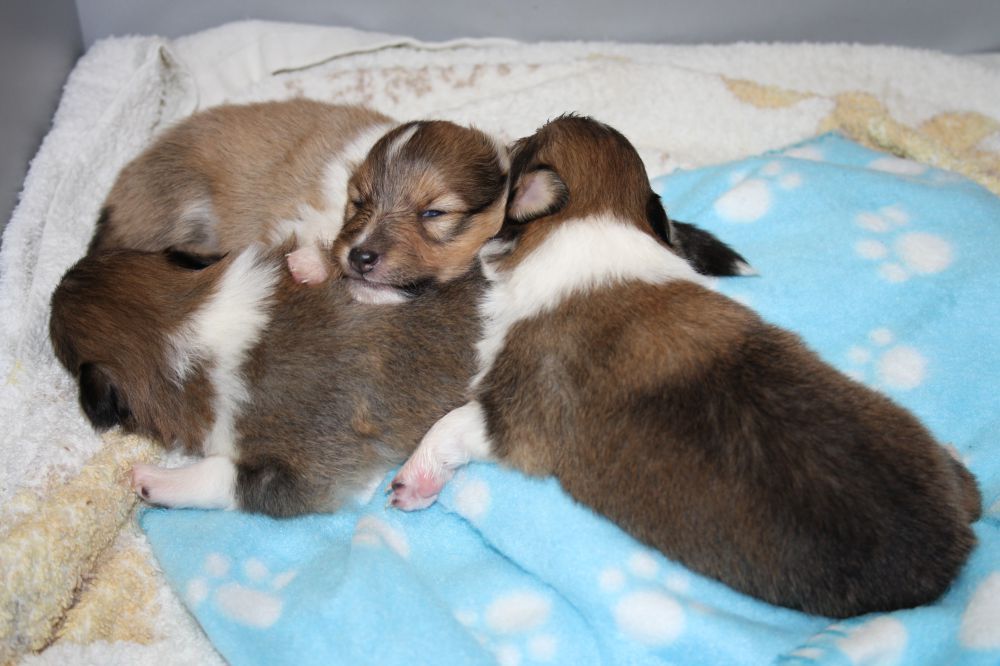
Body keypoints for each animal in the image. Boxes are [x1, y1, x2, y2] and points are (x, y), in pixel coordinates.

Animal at [88, 99, 510, 302]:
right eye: (360, 202)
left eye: (434, 212)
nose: (360, 257)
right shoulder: (300, 216)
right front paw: (311, 263)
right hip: (181, 198)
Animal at [387, 115, 982, 618]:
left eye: (520, 146)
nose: (496, 136)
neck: (593, 220)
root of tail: (959, 544)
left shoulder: (513, 413)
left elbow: (449, 425)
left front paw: (413, 482)